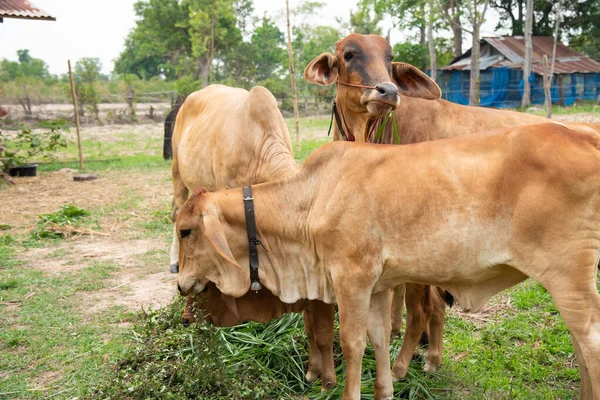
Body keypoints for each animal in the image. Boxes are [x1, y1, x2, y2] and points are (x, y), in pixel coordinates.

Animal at [176, 122, 600, 400]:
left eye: (184, 231)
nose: (180, 284)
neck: (312, 198)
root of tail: (585, 133)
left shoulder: (351, 278)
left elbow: (351, 343)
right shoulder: (379, 286)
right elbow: (379, 338)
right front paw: (386, 388)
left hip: (569, 277)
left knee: (590, 345)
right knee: (580, 348)